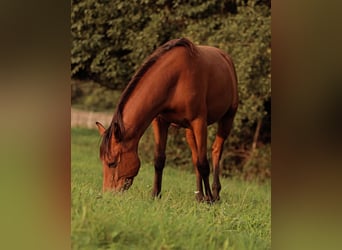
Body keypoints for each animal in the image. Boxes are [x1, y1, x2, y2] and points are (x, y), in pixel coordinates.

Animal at [95, 38, 236, 202]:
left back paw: (215, 194)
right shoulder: (160, 121)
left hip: (227, 118)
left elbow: (203, 164)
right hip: (189, 130)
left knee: (216, 151)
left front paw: (210, 200)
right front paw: (156, 194)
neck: (176, 78)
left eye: (112, 163)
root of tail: (226, 57)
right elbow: (159, 159)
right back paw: (199, 195)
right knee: (195, 157)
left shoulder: (199, 122)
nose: (107, 194)